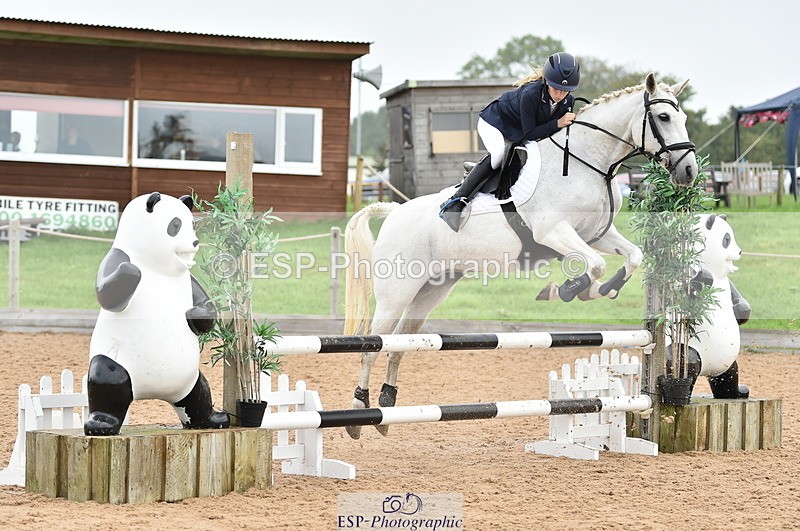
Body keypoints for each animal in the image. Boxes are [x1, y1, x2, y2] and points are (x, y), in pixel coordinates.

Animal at [342, 73, 697, 439]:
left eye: (684, 117)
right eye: (664, 117)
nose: (688, 172)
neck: (589, 162)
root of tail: (394, 211)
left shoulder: (596, 235)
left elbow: (632, 256)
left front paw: (598, 290)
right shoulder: (553, 232)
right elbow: (595, 265)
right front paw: (565, 290)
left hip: (430, 292)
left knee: (398, 343)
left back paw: (387, 403)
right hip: (396, 293)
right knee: (373, 345)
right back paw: (358, 410)